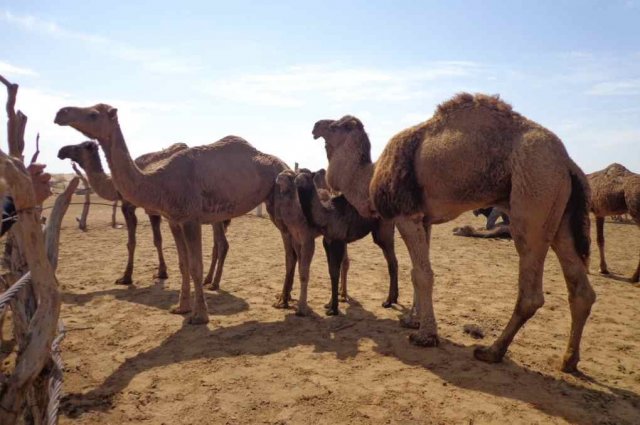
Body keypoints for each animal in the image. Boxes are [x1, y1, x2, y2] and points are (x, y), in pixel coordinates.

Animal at [58, 140, 230, 288]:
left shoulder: (128, 206)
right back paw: (209, 280)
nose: (61, 151)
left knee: (222, 243)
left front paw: (125, 277)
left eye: (79, 146)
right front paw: (162, 272)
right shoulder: (153, 211)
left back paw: (214, 283)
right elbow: (157, 240)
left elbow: (131, 242)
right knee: (217, 243)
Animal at [292, 169, 398, 314]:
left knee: (391, 261)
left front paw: (334, 309)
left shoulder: (339, 240)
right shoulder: (328, 241)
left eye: (308, 176)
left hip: (384, 231)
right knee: (393, 261)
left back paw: (388, 301)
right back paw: (394, 299)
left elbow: (335, 271)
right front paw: (329, 304)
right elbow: (331, 270)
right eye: (297, 174)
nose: (297, 181)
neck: (326, 216)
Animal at [316, 93, 596, 372]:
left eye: (335, 126)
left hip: (534, 192)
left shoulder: (406, 215)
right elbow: (416, 271)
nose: (315, 126)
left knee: (531, 292)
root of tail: (568, 162)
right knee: (580, 288)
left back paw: (492, 351)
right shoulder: (424, 219)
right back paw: (568, 360)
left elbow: (422, 274)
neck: (370, 179)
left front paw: (425, 336)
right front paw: (413, 320)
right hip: (560, 211)